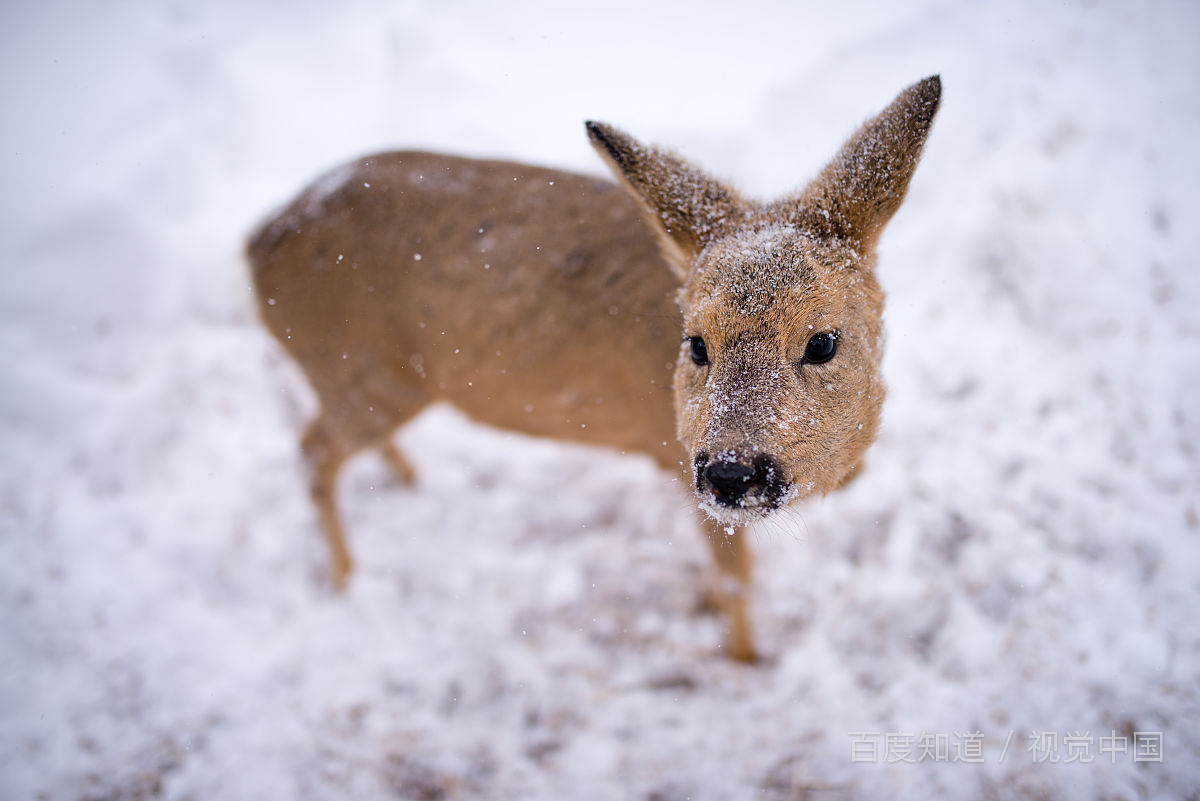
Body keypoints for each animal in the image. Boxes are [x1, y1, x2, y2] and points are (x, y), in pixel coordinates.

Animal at [246, 76, 936, 661]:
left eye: (822, 342)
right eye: (696, 344)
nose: (732, 473)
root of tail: (257, 241)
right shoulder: (679, 458)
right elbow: (735, 575)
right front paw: (744, 657)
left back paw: (408, 482)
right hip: (366, 372)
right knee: (312, 449)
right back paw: (345, 578)